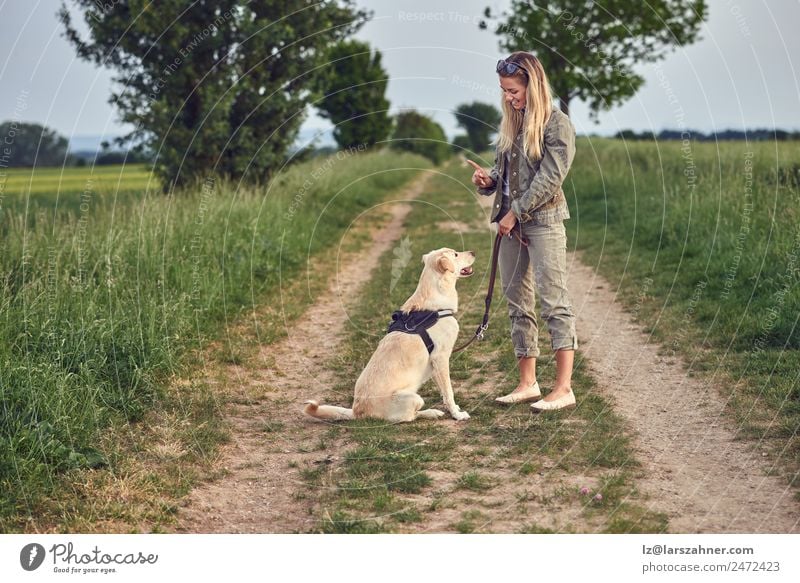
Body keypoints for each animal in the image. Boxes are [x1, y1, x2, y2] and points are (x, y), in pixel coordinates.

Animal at [304, 248, 472, 424]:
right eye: (456, 254)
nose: (473, 252)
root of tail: (357, 412)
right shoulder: (440, 359)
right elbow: (448, 392)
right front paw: (457, 414)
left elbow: (445, 392)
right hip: (414, 398)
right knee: (410, 416)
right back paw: (432, 412)